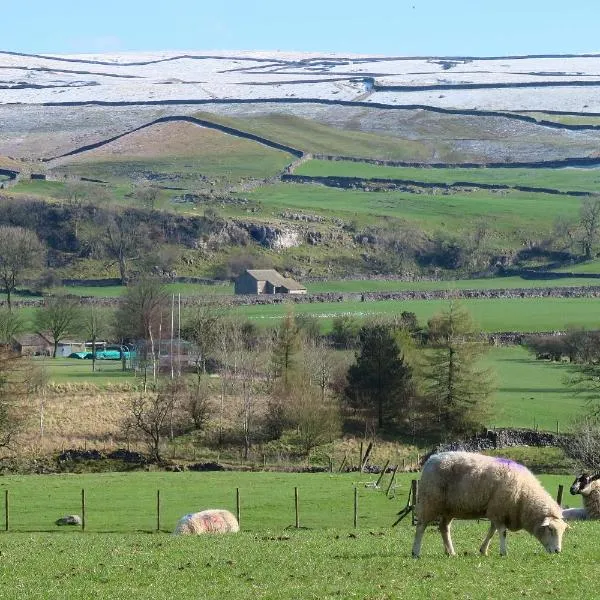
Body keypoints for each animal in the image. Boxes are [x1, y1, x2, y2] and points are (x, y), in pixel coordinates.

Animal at [411, 451, 567, 557]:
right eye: (550, 529)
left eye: (563, 531)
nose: (558, 551)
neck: (524, 496)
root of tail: (431, 459)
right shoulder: (498, 510)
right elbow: (502, 532)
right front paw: (503, 552)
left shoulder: (496, 512)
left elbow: (492, 532)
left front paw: (483, 550)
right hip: (429, 501)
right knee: (421, 526)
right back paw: (416, 552)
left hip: (448, 509)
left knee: (443, 528)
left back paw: (450, 552)